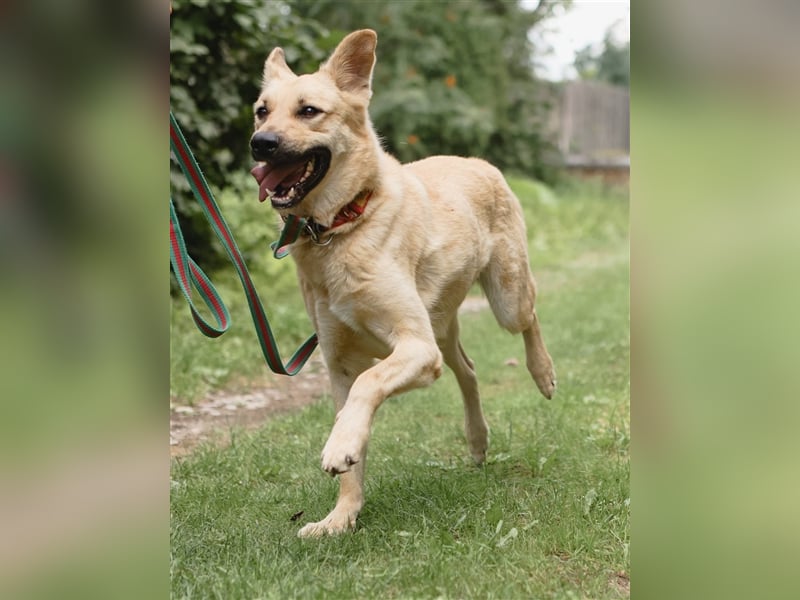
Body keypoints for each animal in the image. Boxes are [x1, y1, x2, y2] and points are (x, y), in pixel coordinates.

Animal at [250, 28, 556, 536]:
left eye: (308, 111)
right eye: (261, 110)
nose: (260, 144)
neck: (343, 224)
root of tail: (477, 160)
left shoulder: (413, 348)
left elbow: (368, 384)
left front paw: (340, 448)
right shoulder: (341, 363)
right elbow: (353, 435)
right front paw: (341, 516)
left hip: (503, 300)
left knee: (529, 319)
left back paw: (543, 373)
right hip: (442, 326)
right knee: (468, 370)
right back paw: (477, 440)